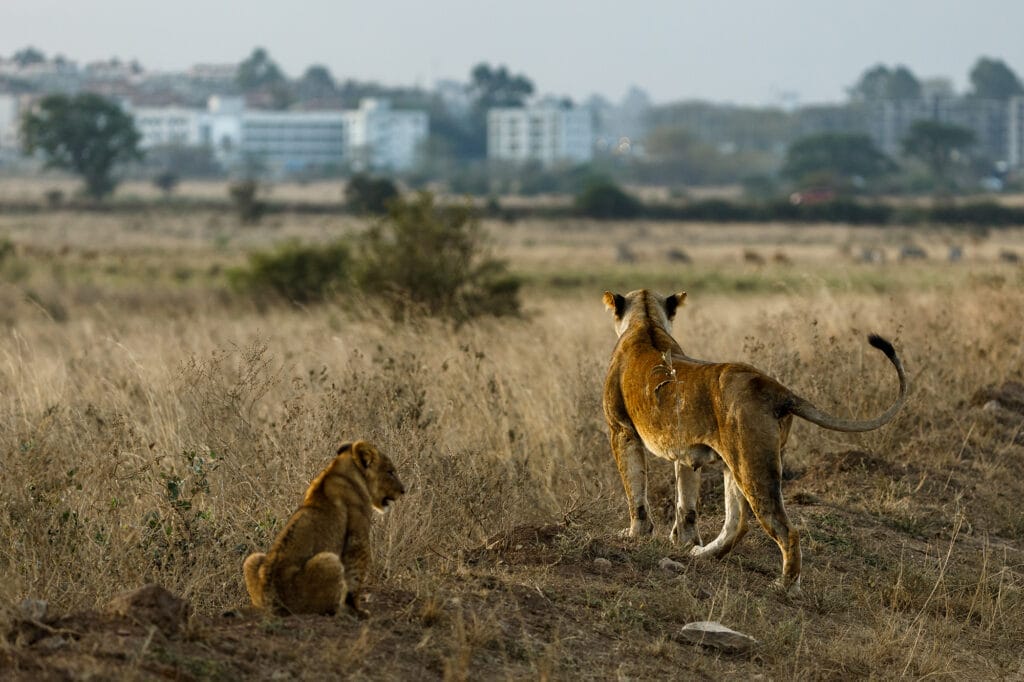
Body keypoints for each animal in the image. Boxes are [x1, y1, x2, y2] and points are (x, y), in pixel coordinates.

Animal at [243, 440, 405, 616]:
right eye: (390, 472)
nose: (403, 490)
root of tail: (272, 603)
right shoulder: (357, 539)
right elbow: (355, 578)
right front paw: (358, 611)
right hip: (329, 560)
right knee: (329, 609)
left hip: (252, 559)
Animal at [602, 289, 908, 593]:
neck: (646, 322)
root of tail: (777, 388)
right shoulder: (686, 451)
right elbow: (686, 504)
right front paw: (684, 543)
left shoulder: (621, 431)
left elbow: (635, 490)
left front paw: (635, 534)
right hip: (736, 462)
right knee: (738, 524)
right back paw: (703, 554)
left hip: (752, 465)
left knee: (786, 530)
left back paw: (785, 585)